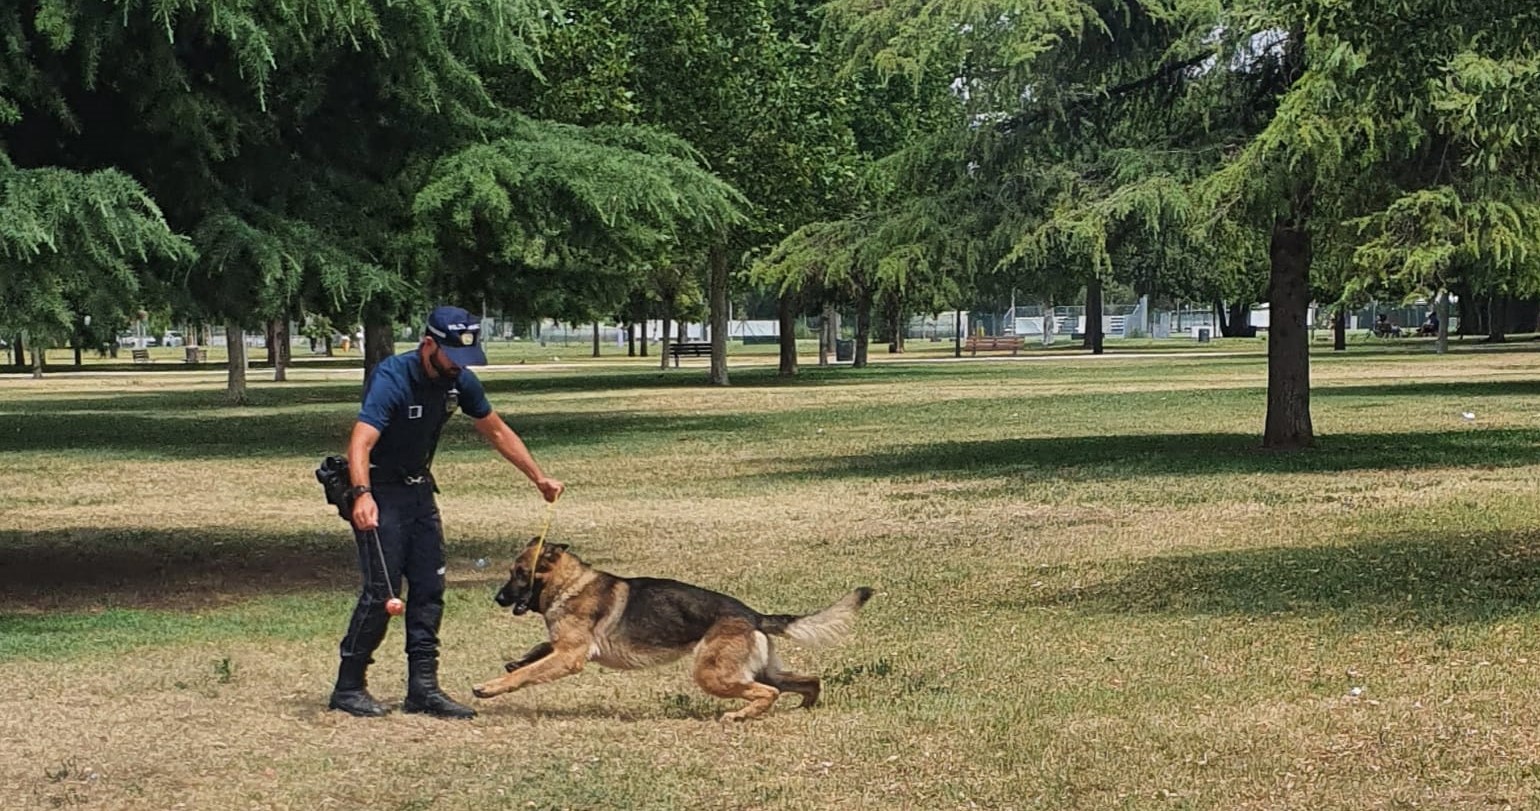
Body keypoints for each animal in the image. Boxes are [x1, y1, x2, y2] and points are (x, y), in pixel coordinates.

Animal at [468, 538, 874, 723]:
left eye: (519, 573)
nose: (497, 598)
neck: (570, 583)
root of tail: (753, 614)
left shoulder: (571, 657)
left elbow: (526, 674)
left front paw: (490, 687)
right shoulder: (564, 648)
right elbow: (537, 653)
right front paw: (518, 660)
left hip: (712, 674)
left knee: (769, 692)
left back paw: (741, 716)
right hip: (759, 670)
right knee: (808, 681)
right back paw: (802, 708)